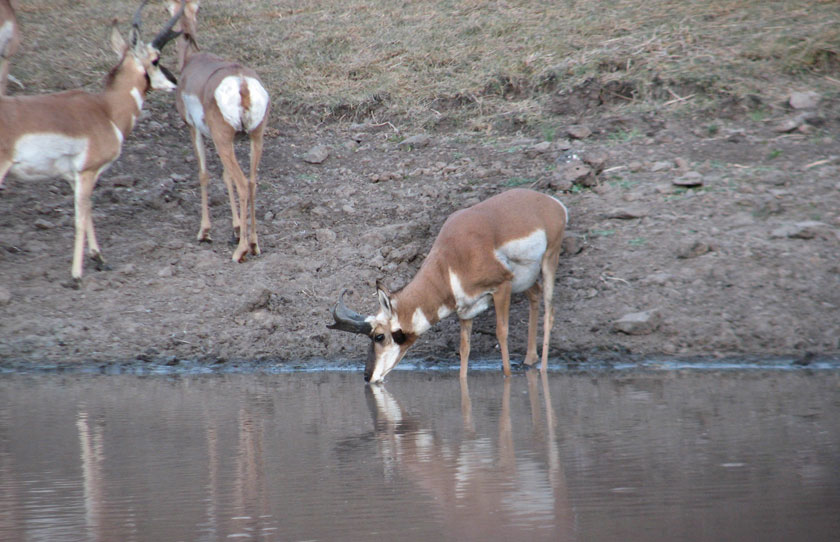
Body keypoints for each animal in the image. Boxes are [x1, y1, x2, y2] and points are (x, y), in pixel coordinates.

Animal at [0, 1, 183, 284]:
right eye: (155, 59)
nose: (175, 81)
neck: (106, 110)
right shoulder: (87, 173)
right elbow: (79, 218)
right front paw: (76, 275)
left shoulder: (74, 178)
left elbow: (87, 213)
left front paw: (100, 258)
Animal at [166, 0, 268, 264]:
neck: (192, 59)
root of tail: (242, 82)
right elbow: (225, 176)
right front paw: (236, 228)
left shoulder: (194, 130)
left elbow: (204, 174)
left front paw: (204, 231)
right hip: (254, 139)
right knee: (251, 182)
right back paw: (253, 244)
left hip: (224, 142)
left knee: (242, 184)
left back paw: (240, 251)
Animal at [332, 189, 568, 384]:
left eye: (378, 336)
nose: (366, 376)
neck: (450, 261)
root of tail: (551, 202)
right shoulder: (466, 312)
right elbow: (464, 348)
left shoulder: (502, 287)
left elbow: (501, 332)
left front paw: (508, 376)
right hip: (525, 281)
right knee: (535, 295)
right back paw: (530, 359)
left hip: (549, 260)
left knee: (550, 312)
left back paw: (543, 369)